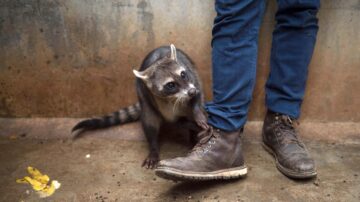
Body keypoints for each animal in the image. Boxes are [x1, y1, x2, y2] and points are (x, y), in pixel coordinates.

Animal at [72, 44, 208, 169]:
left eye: (183, 74)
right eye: (171, 85)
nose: (191, 92)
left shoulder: (192, 76)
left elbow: (198, 93)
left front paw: (197, 112)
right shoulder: (155, 98)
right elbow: (171, 122)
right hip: (144, 99)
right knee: (150, 120)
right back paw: (154, 147)